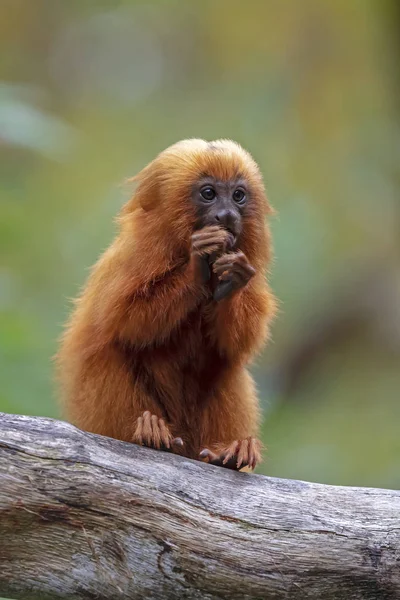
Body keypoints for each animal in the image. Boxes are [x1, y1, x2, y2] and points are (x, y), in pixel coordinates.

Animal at [57, 138, 276, 472]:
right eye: (209, 193)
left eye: (238, 195)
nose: (227, 215)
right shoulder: (138, 254)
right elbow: (126, 323)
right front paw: (198, 267)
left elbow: (235, 346)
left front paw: (230, 280)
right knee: (111, 353)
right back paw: (150, 434)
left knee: (226, 368)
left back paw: (228, 454)